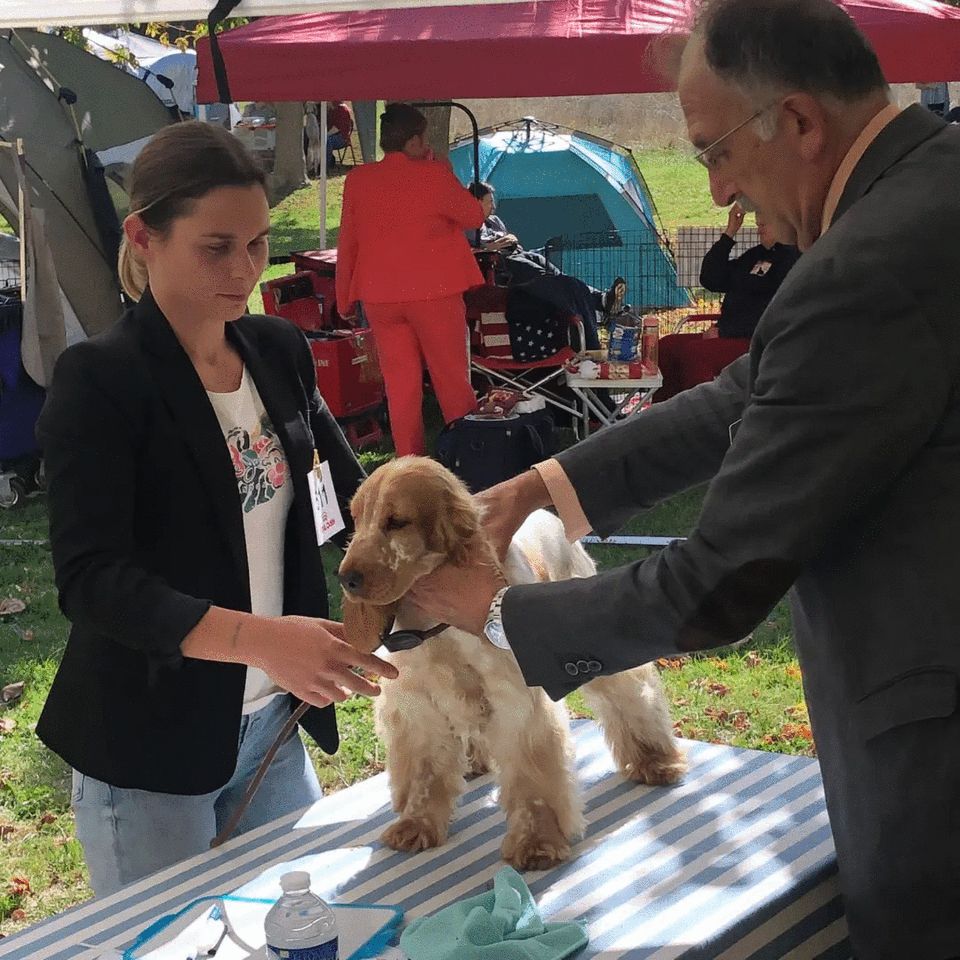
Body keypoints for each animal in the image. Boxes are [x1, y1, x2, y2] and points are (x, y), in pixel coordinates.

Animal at [338, 456, 686, 870]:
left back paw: (656, 761)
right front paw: (416, 824)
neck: (436, 626)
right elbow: (425, 771)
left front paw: (537, 840)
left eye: (396, 521)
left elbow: (530, 777)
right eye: (356, 519)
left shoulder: (517, 700)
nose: (346, 578)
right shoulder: (418, 704)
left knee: (632, 692)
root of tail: (546, 515)